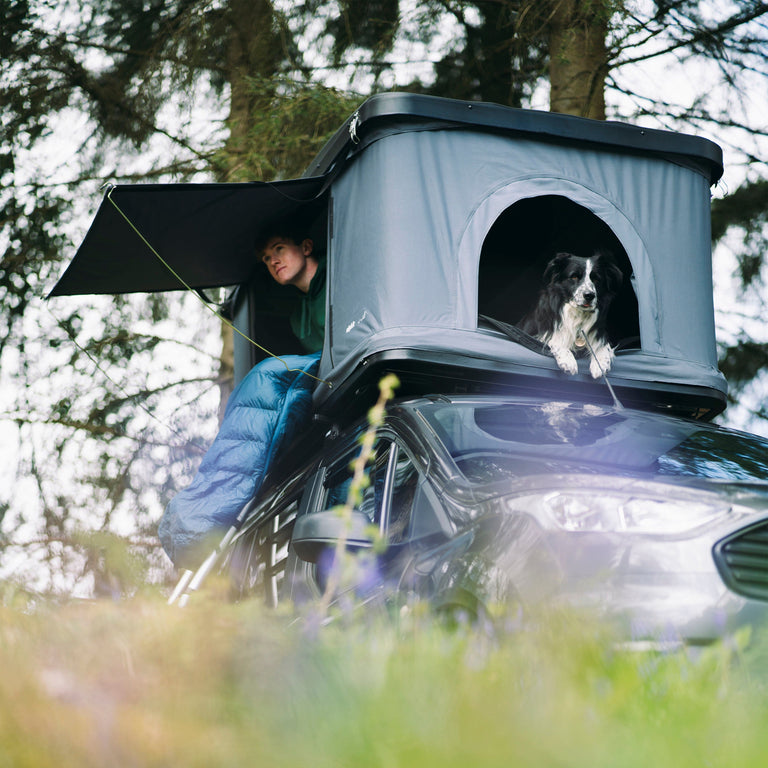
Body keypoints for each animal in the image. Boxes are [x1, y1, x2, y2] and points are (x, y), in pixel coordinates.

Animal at [520, 250, 624, 380]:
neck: (578, 313)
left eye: (596, 279)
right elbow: (555, 338)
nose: (589, 295)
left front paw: (600, 363)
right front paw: (568, 361)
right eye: (574, 276)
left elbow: (603, 345)